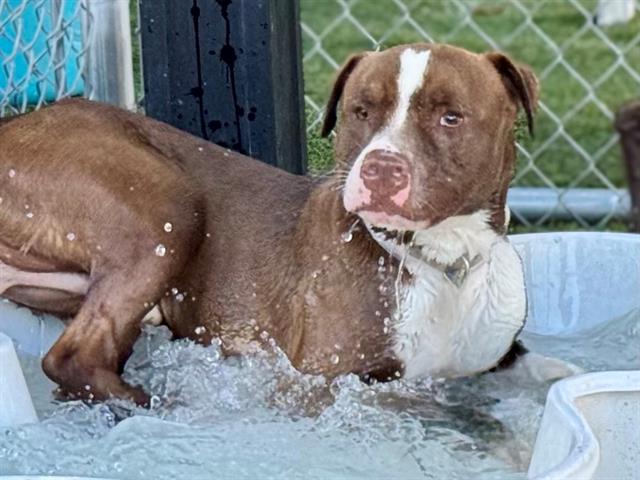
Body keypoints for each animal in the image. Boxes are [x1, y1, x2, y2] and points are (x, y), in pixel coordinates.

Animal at [1, 44, 536, 404]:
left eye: (451, 117)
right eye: (361, 111)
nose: (380, 168)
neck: (446, 263)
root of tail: (17, 124)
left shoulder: (501, 358)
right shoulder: (325, 382)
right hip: (167, 207)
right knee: (72, 359)